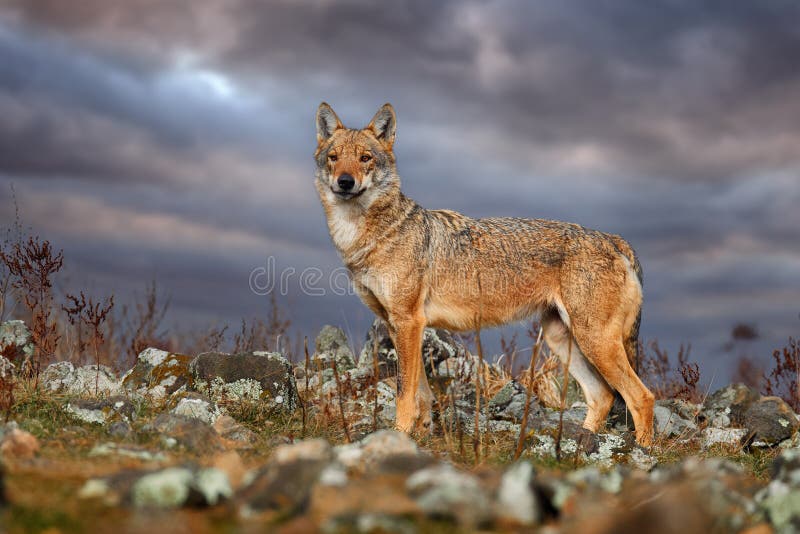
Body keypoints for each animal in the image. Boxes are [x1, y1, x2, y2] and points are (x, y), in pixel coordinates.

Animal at [312, 102, 656, 446]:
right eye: (334, 157)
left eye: (364, 158)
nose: (345, 182)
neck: (366, 234)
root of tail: (613, 239)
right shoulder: (401, 326)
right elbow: (422, 393)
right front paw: (420, 436)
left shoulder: (408, 322)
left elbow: (404, 393)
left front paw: (398, 435)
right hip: (564, 340)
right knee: (603, 396)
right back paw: (580, 445)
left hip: (594, 341)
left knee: (642, 396)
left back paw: (641, 451)